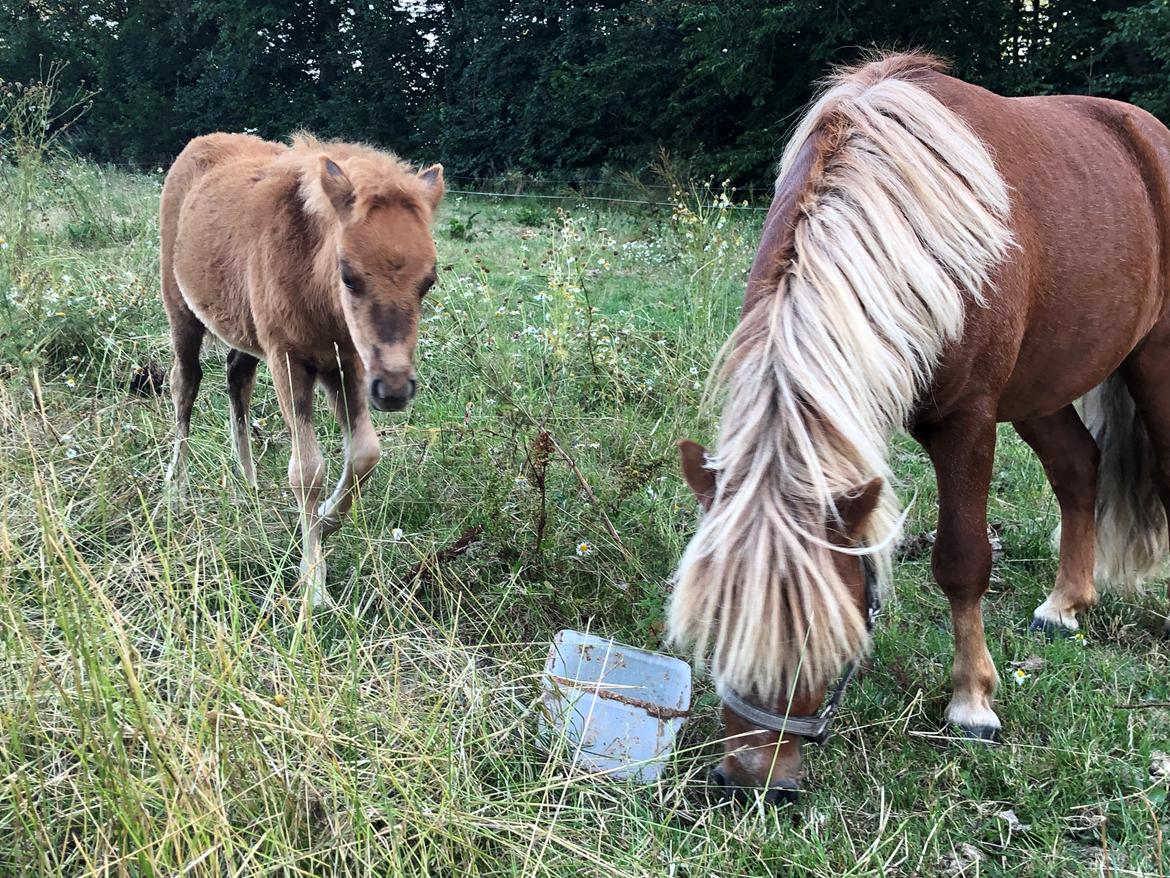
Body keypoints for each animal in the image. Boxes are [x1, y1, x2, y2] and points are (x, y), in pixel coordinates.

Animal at [160, 134, 442, 608]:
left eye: (429, 281)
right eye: (349, 276)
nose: (394, 390)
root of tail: (199, 143)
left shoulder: (348, 365)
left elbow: (365, 454)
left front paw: (326, 520)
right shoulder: (289, 361)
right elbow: (307, 472)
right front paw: (313, 584)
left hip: (246, 329)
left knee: (237, 376)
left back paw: (249, 483)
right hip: (181, 309)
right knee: (186, 384)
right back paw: (176, 489)